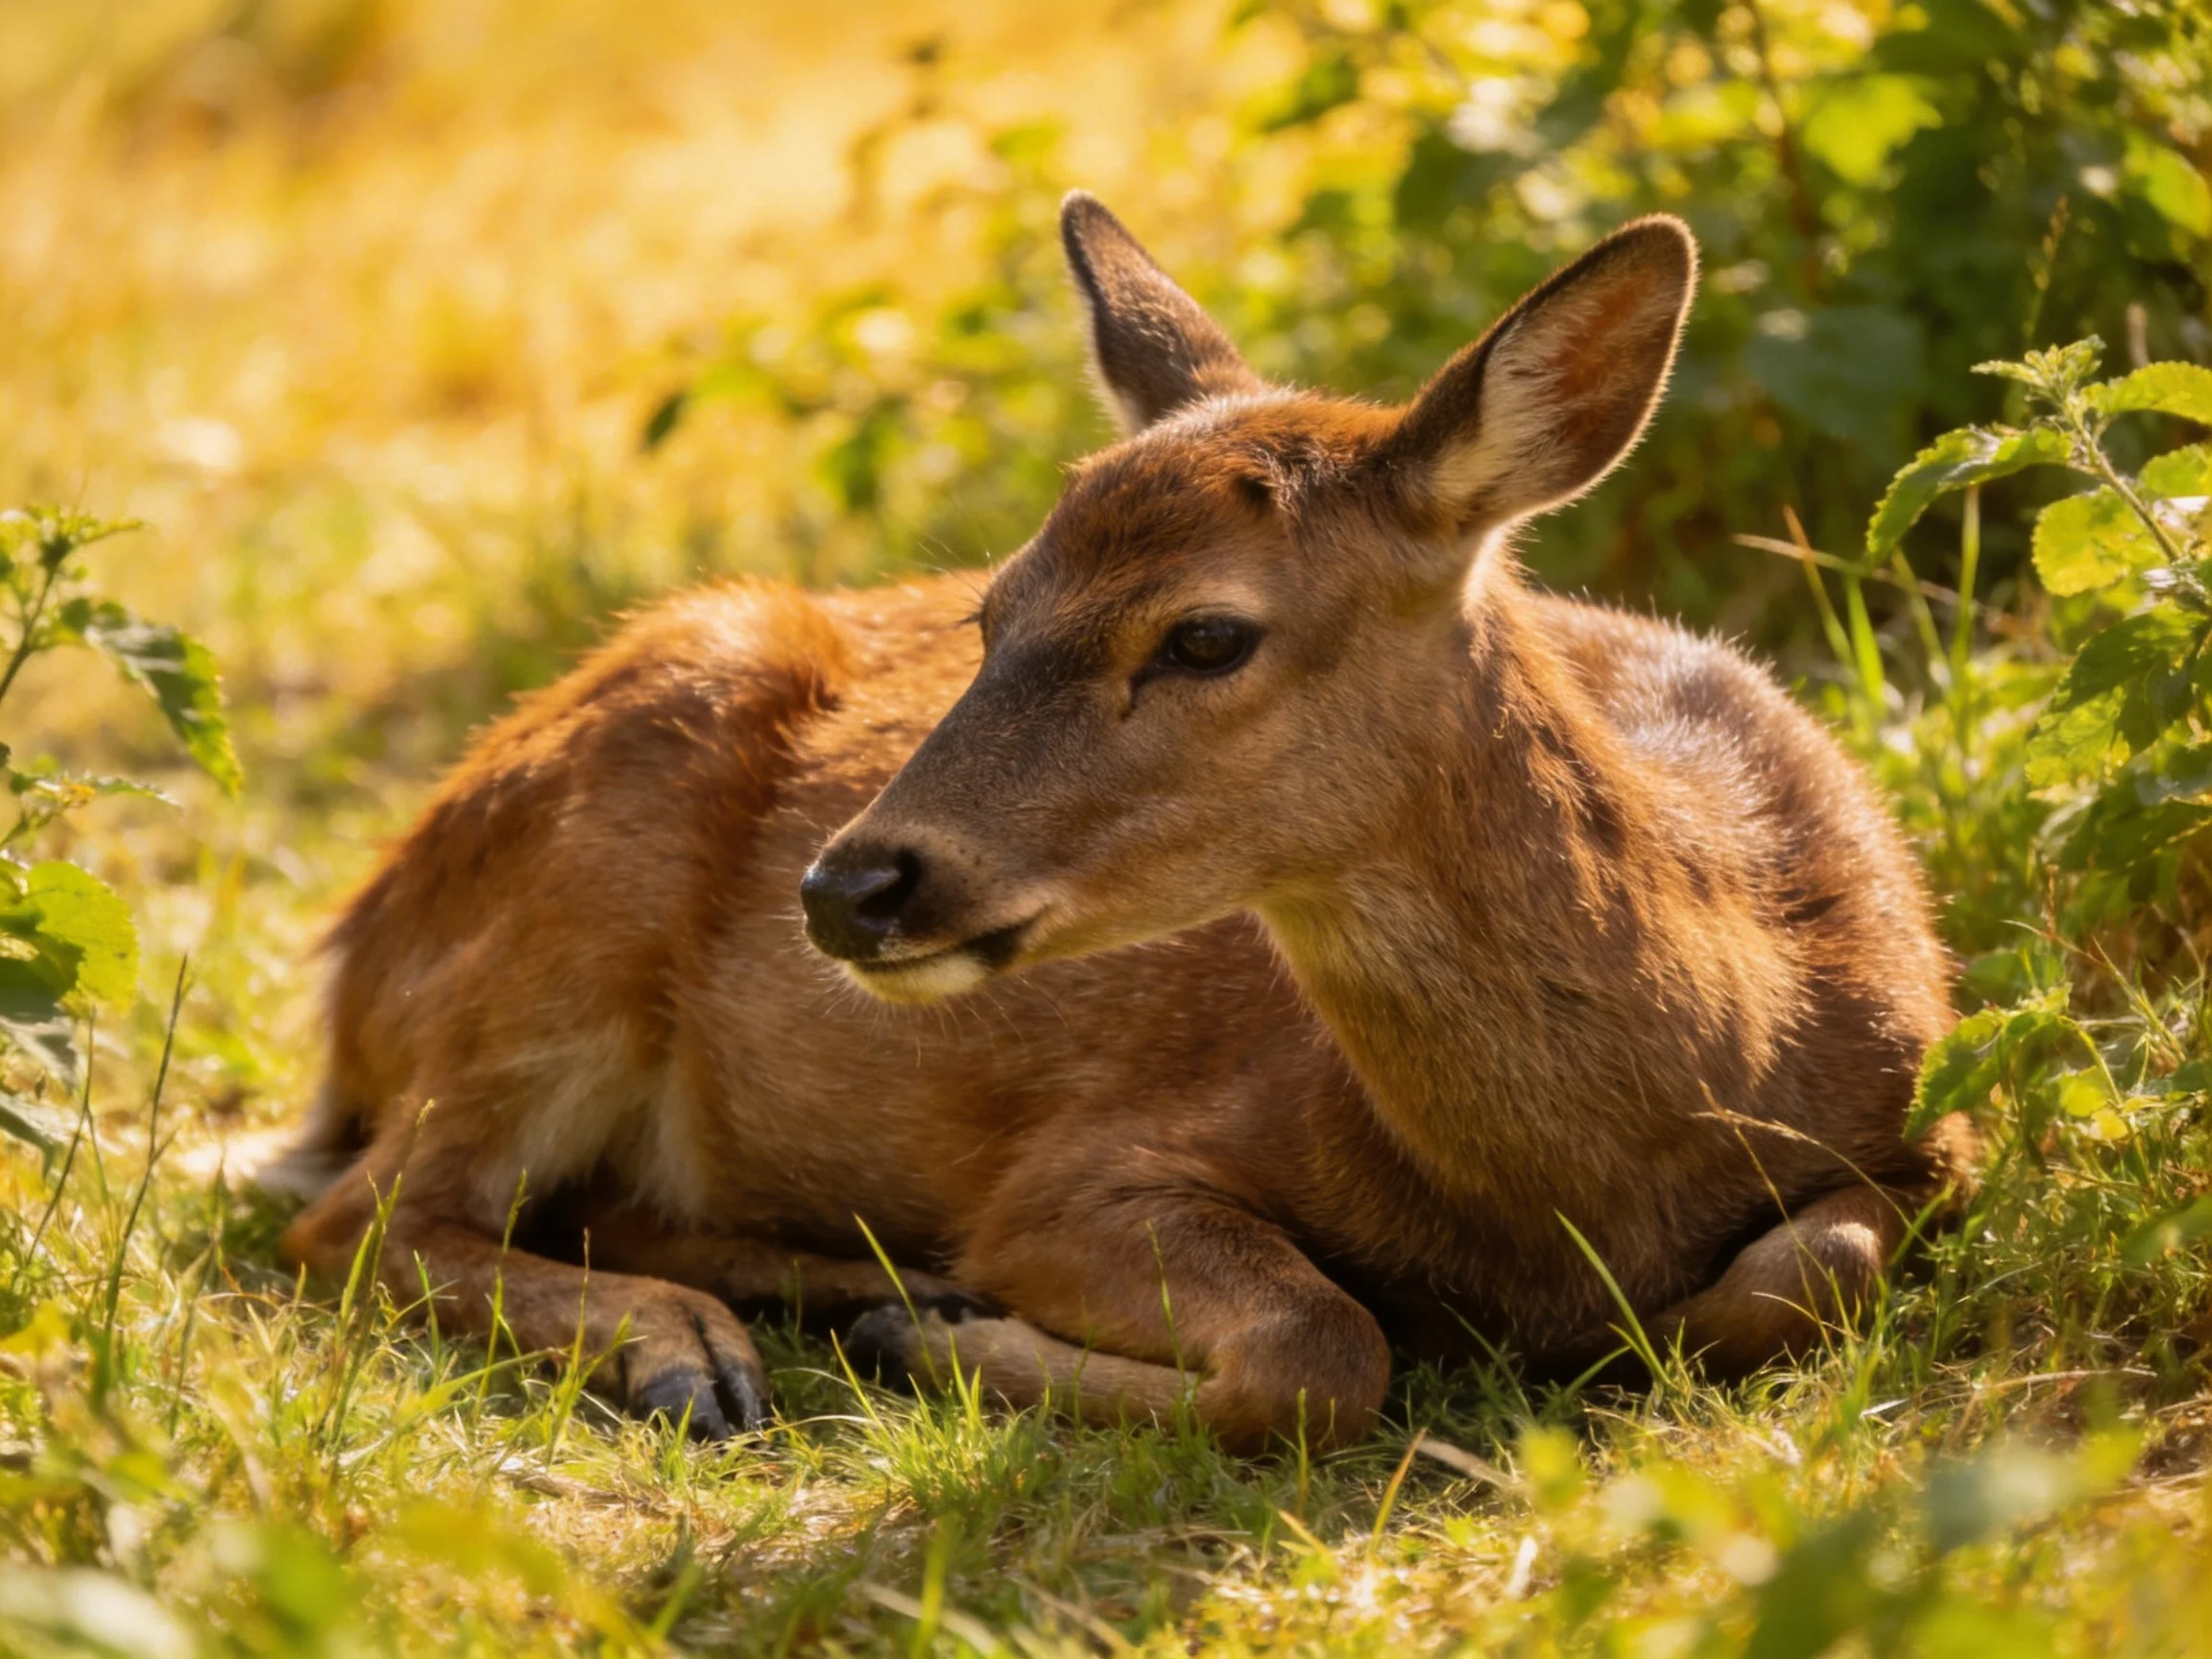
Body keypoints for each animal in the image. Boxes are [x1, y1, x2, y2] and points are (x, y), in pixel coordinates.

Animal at [272, 195, 1976, 1453]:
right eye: (993, 607)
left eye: (1207, 635)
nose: (848, 886)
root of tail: (356, 947)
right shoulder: (1080, 1164)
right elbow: (1319, 1346)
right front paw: (951, 1334)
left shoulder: (1932, 1116)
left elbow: (1806, 1271)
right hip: (564, 916)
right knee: (362, 1219)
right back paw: (719, 1348)